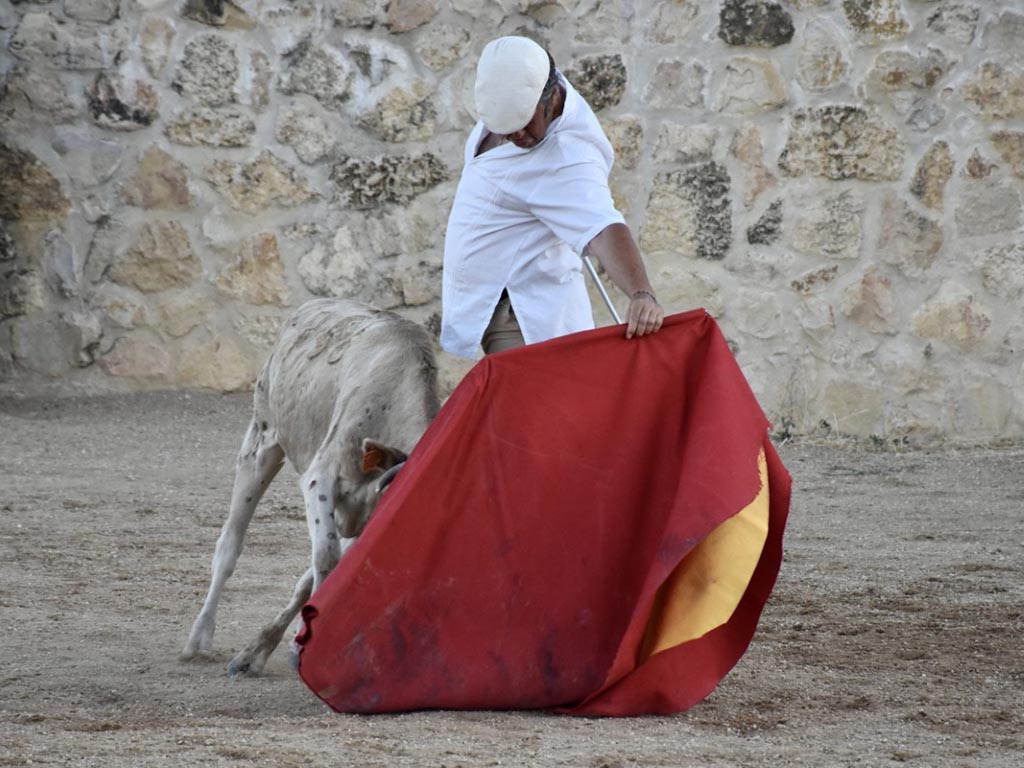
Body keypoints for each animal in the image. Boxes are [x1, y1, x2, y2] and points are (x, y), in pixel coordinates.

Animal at [180, 299, 440, 676]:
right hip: (261, 442)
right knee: (229, 543)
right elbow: (326, 558)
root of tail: (311, 305)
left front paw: (262, 650)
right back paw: (199, 637)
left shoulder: (363, 518)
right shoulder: (321, 477)